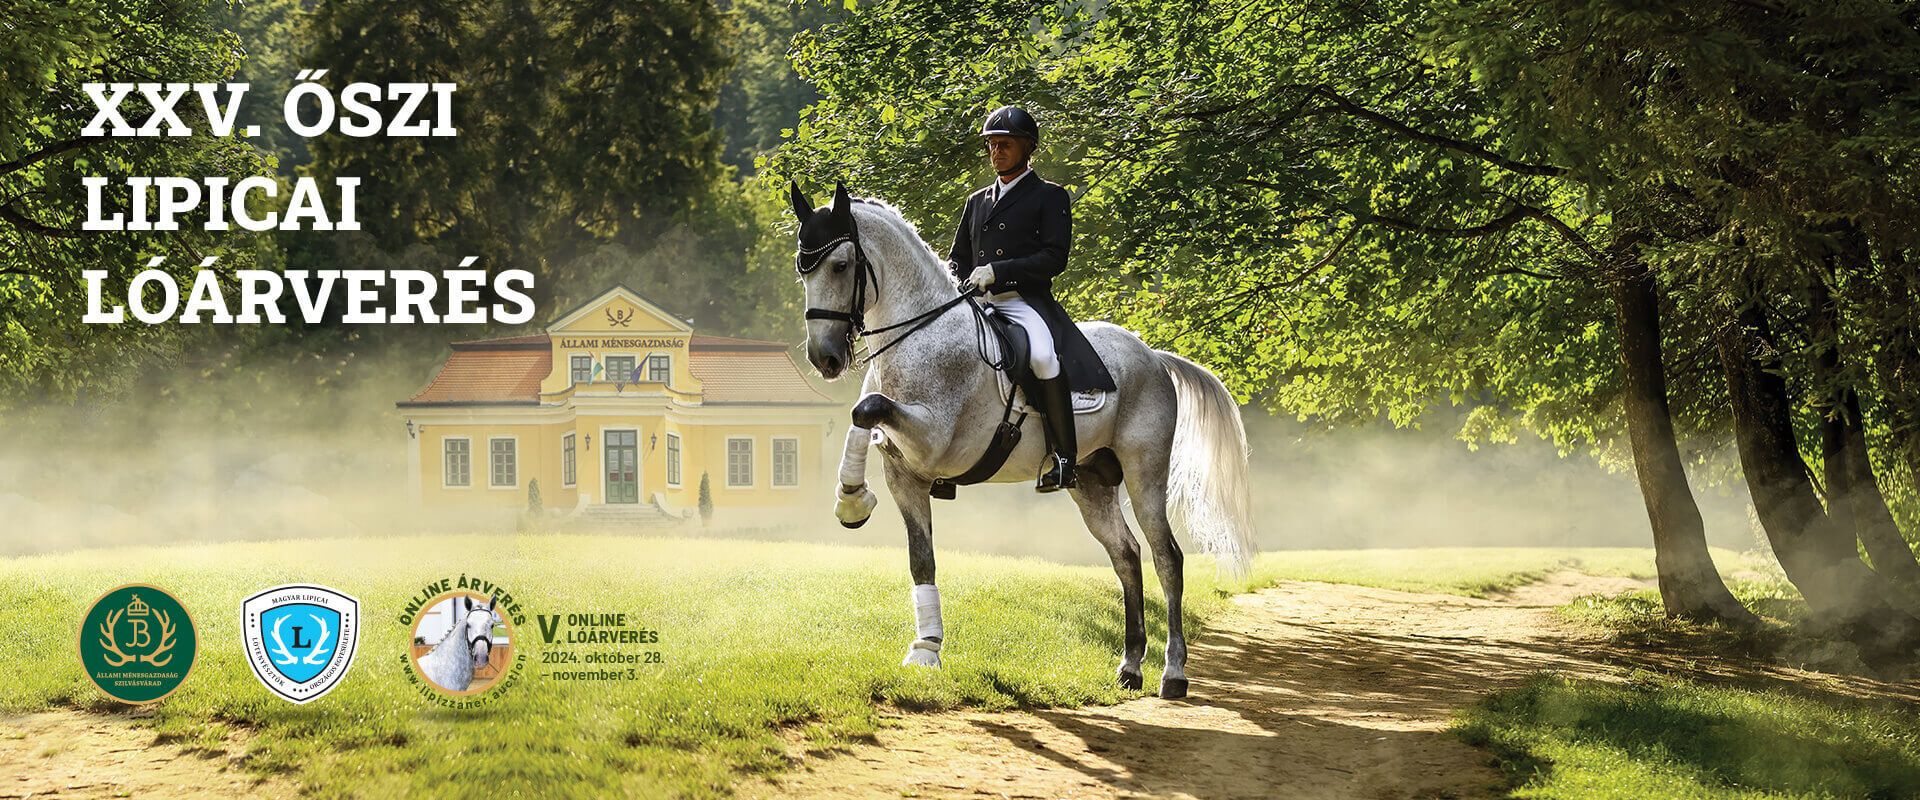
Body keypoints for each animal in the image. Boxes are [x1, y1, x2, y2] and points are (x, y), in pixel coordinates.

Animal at [787, 179, 1251, 690]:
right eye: (802, 269)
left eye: (840, 265)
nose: (824, 358)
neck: (922, 333)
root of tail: (1152, 356)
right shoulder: (905, 474)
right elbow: (918, 551)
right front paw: (925, 647)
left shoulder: (935, 441)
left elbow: (868, 407)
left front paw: (853, 500)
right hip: (1091, 481)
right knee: (1126, 555)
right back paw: (1130, 665)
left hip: (1144, 471)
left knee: (1167, 557)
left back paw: (1173, 672)